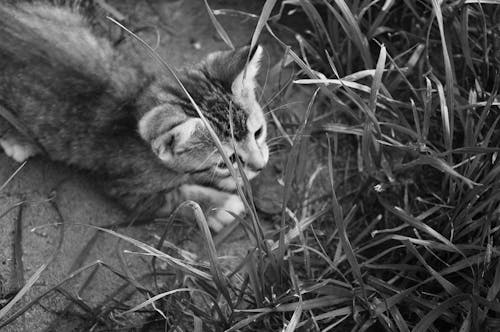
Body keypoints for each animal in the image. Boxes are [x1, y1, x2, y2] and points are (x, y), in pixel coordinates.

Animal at [0, 1, 270, 231]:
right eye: (226, 162)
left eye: (258, 132)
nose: (261, 166)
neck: (136, 100)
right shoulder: (126, 187)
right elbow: (179, 198)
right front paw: (221, 206)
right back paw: (17, 141)